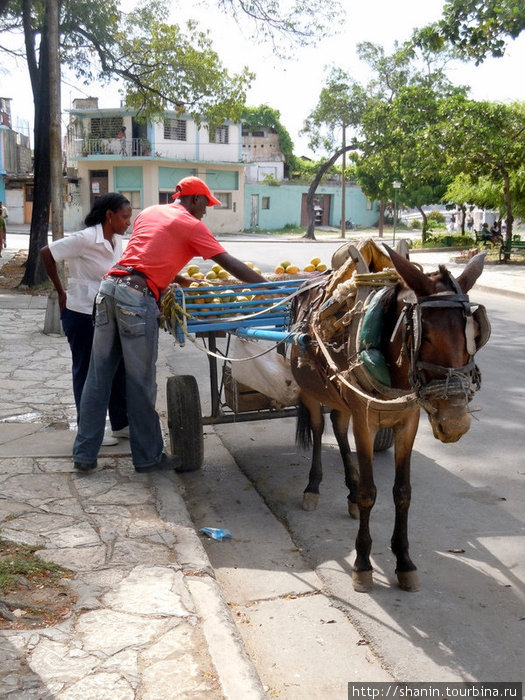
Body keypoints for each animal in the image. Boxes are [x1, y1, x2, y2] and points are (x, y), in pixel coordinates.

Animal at [288, 243, 490, 592]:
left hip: (342, 399)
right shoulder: (365, 423)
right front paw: (363, 563)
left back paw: (349, 490)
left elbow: (403, 493)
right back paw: (313, 488)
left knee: (339, 429)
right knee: (317, 429)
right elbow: (371, 493)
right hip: (312, 393)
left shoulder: (407, 423)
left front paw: (404, 562)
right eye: (425, 335)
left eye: (475, 333)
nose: (454, 423)